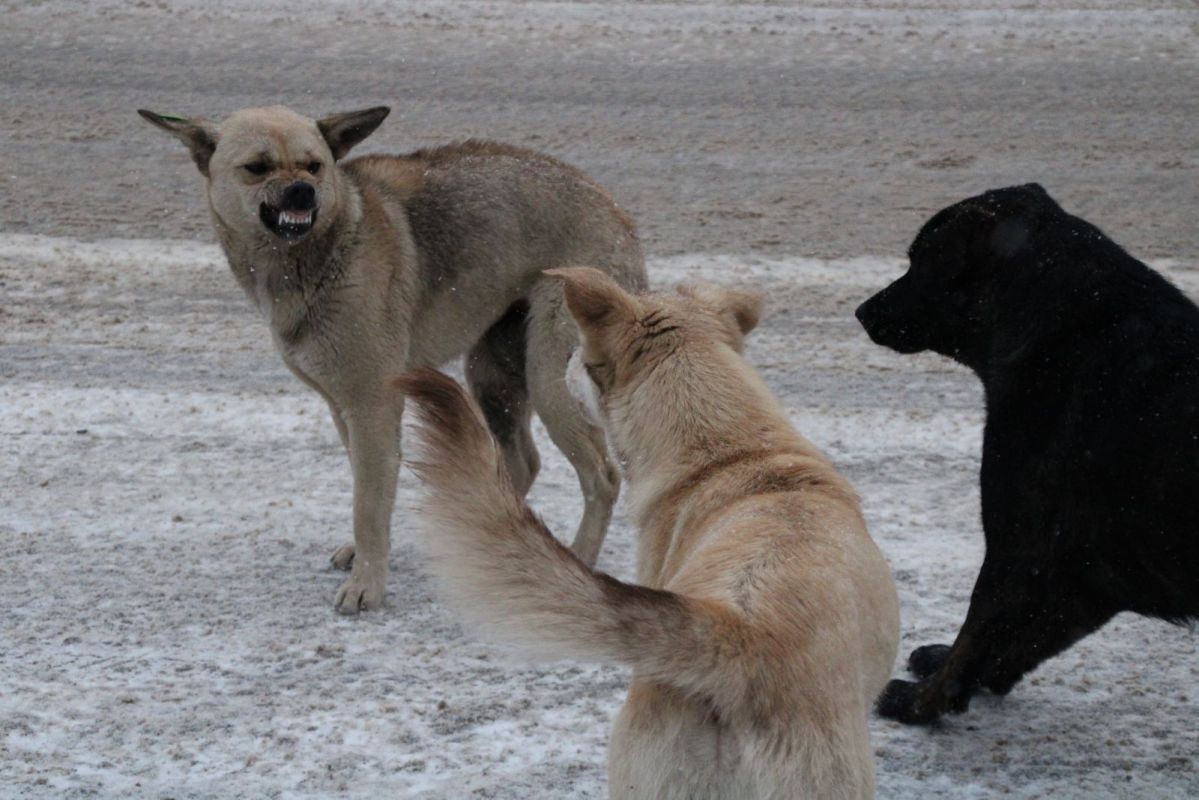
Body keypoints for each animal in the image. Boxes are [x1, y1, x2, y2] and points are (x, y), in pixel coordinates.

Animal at [137, 104, 647, 614]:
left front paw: (366, 585)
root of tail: (617, 212)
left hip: (549, 378)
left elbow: (368, 502)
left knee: (602, 478)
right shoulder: (343, 407)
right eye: (257, 168)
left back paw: (578, 559)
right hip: (492, 376)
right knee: (522, 462)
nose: (303, 191)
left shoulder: (373, 405)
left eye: (314, 166)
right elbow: (368, 489)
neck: (329, 246)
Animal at [853, 185, 1199, 724]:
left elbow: (977, 631)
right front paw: (961, 681)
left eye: (920, 260)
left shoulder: (1018, 539)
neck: (1065, 324)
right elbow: (1016, 641)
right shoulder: (1087, 569)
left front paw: (923, 702)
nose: (863, 311)